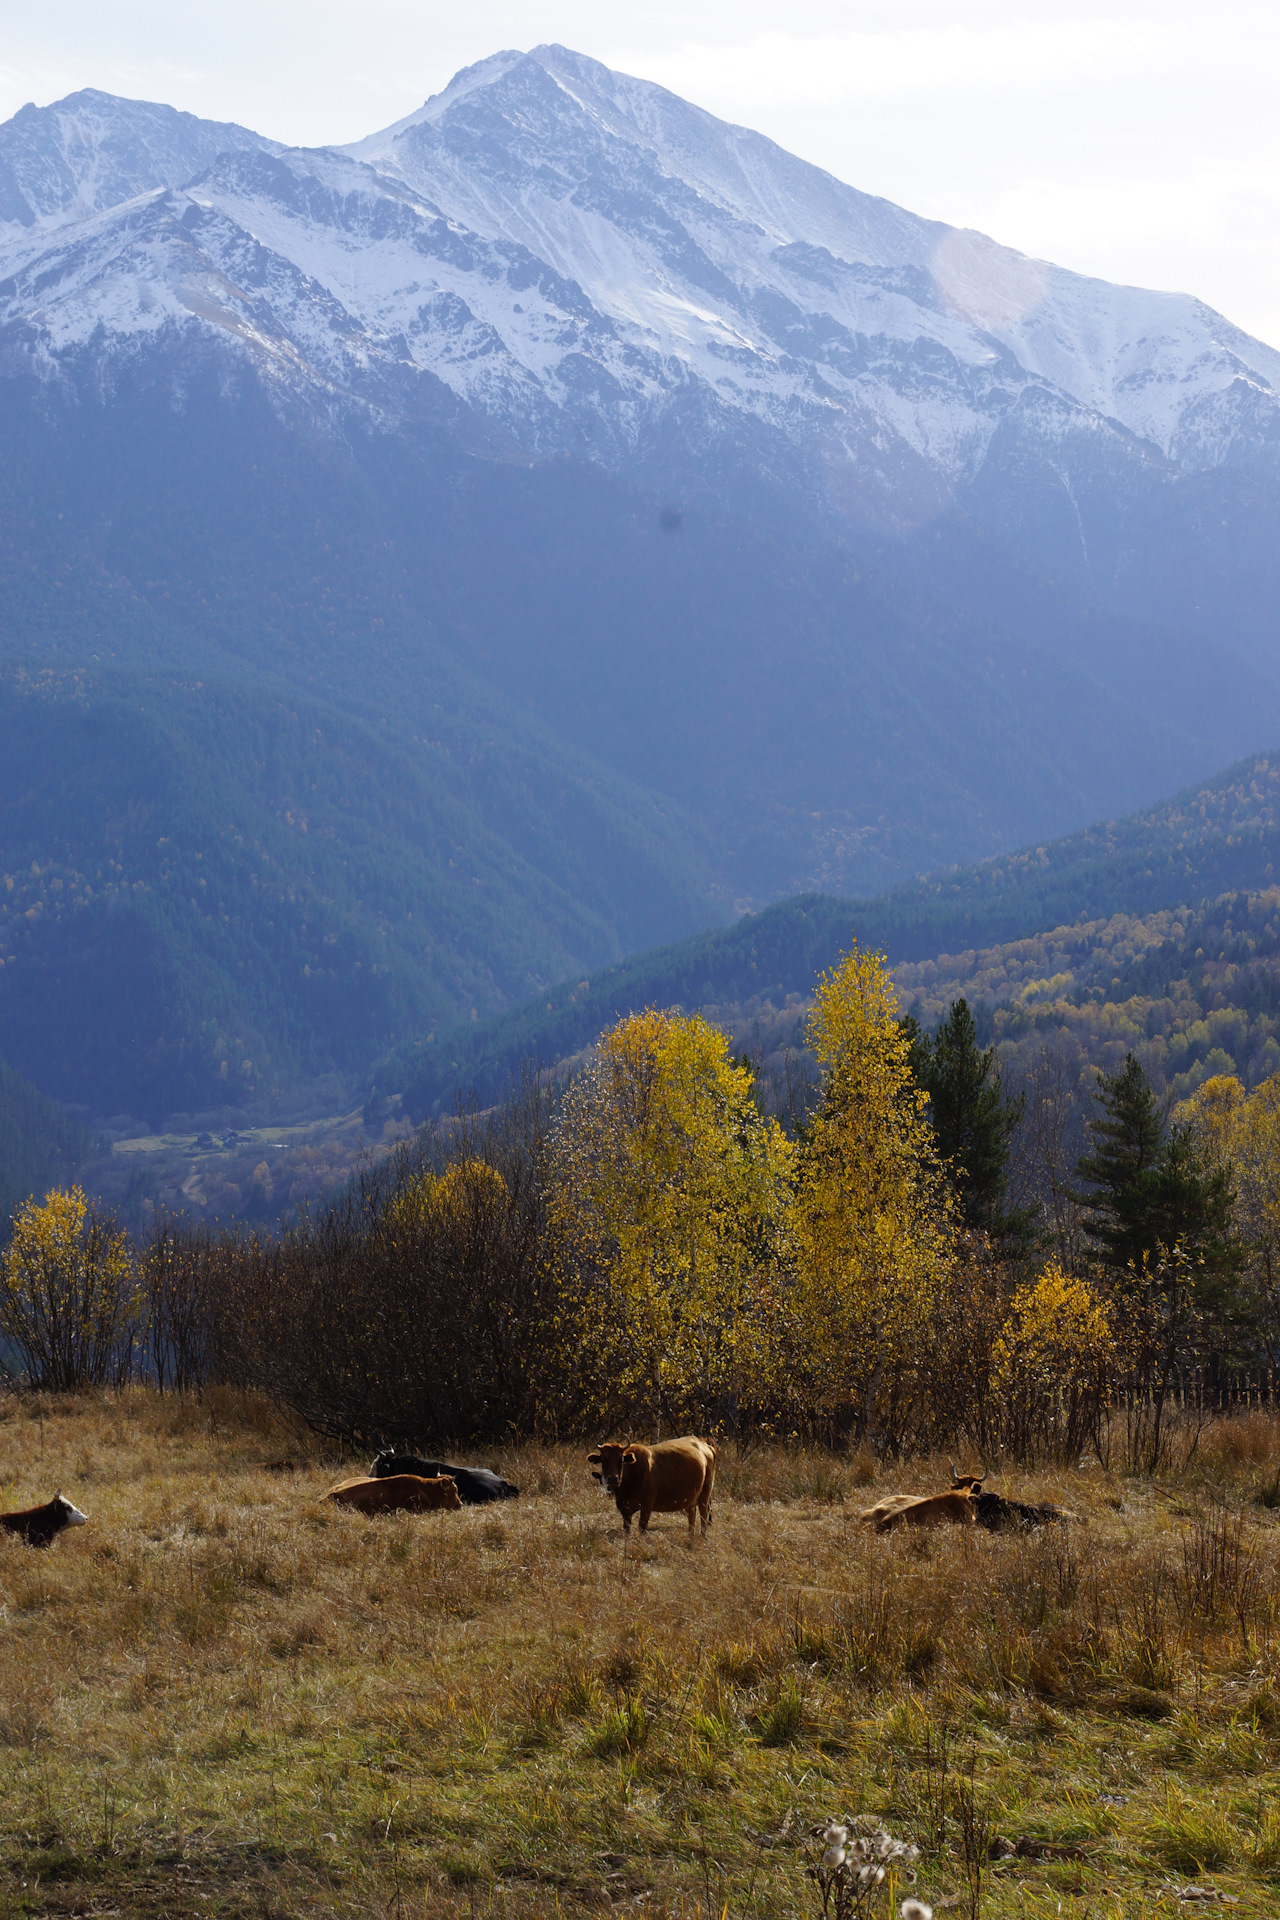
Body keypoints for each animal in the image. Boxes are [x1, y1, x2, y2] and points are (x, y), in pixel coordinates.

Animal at [587, 1436, 717, 1536]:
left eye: (621, 1459)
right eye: (603, 1460)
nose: (613, 1479)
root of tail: (705, 1445)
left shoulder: (647, 1505)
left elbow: (642, 1527)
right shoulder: (625, 1509)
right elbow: (627, 1529)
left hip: (705, 1492)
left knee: (704, 1515)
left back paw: (702, 1537)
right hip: (692, 1497)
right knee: (692, 1516)